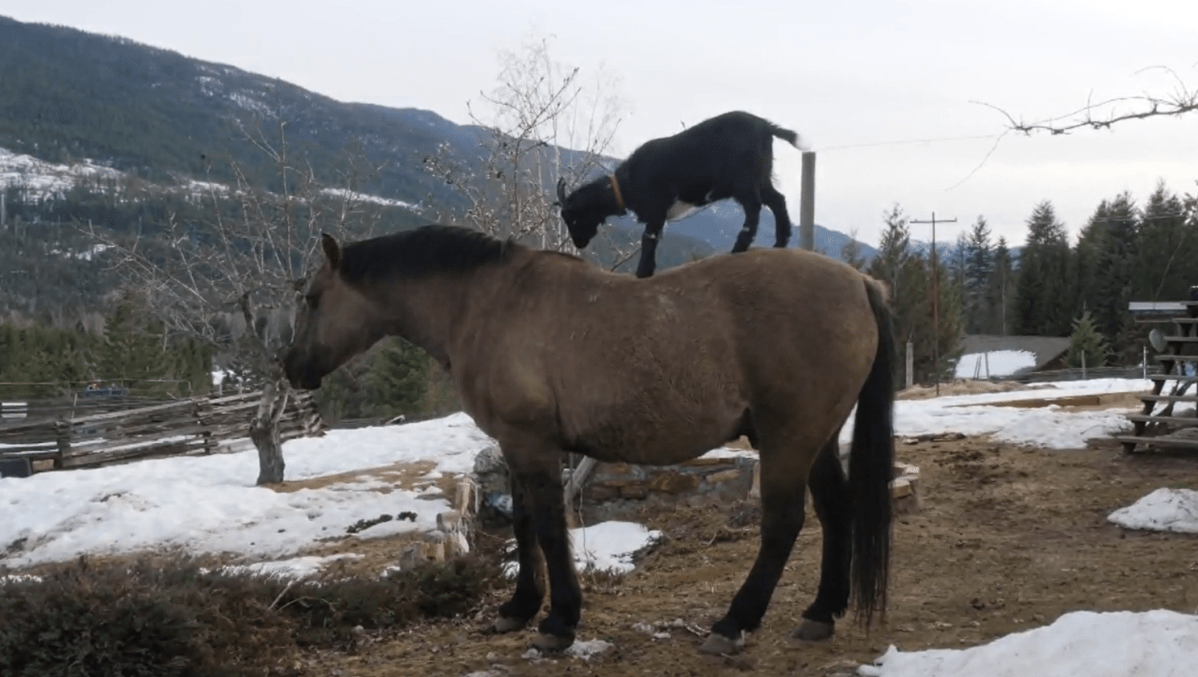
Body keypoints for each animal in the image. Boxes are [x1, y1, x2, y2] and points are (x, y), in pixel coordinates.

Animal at [282, 224, 896, 655]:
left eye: (312, 297)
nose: (290, 367)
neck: (487, 302)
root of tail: (860, 284)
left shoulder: (532, 443)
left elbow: (551, 530)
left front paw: (558, 623)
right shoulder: (515, 445)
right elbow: (524, 524)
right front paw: (519, 608)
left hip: (789, 438)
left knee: (783, 523)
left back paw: (732, 624)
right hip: (816, 438)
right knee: (836, 510)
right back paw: (820, 613)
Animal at [556, 110, 803, 278]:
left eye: (574, 218)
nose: (578, 244)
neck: (626, 183)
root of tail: (766, 126)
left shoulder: (656, 211)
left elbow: (648, 242)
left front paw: (643, 273)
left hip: (744, 180)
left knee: (754, 208)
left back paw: (739, 248)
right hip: (762, 177)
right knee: (777, 200)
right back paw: (780, 243)